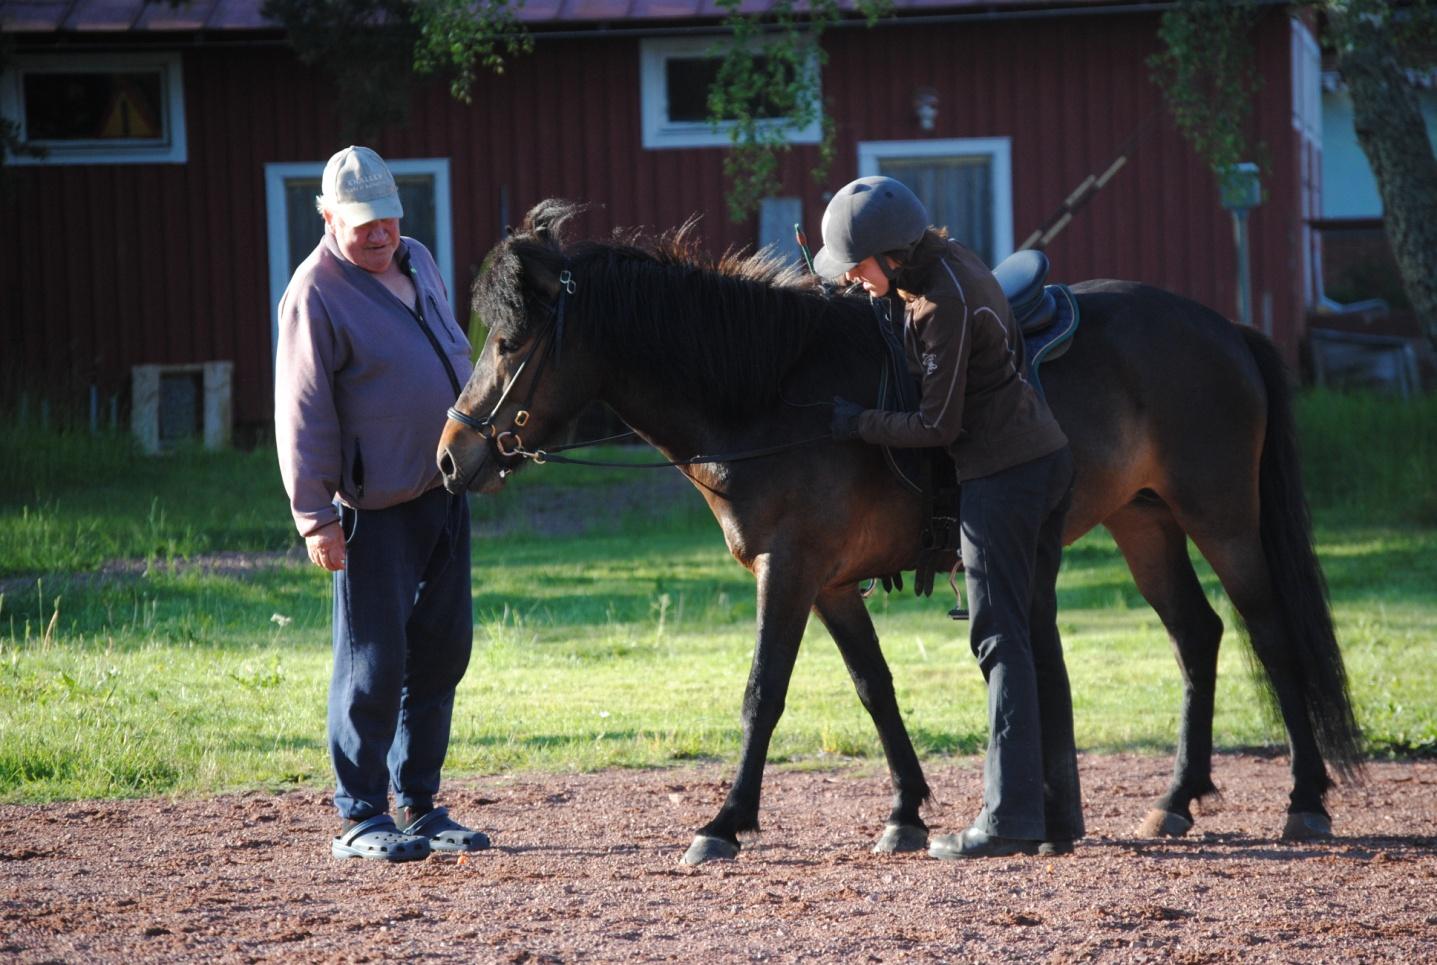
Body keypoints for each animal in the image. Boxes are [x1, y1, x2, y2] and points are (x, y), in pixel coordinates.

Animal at [436, 199, 1356, 861]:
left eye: (510, 341)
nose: (451, 456)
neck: (773, 393)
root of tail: (1220, 326)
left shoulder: (788, 570)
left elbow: (762, 693)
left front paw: (724, 821)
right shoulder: (832, 582)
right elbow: (873, 688)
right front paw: (906, 810)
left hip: (1221, 518)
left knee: (1270, 633)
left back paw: (1304, 799)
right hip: (1146, 523)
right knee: (1196, 636)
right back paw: (1174, 798)